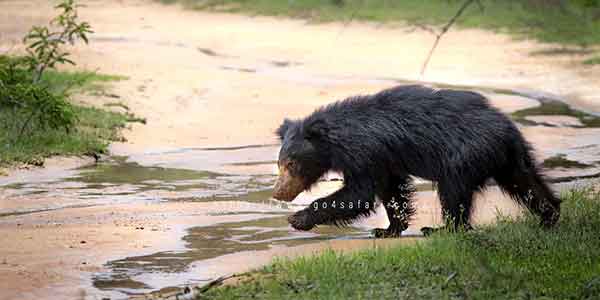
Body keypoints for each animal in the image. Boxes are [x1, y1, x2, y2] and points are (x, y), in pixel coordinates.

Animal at [272, 85, 564, 237]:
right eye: (279, 164)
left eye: (291, 165)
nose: (278, 193)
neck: (336, 142)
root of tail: (504, 128)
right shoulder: (385, 160)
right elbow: (391, 190)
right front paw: (389, 229)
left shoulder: (365, 153)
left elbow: (359, 193)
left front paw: (298, 218)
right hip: (510, 157)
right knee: (526, 182)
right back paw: (549, 215)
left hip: (465, 154)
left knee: (453, 191)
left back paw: (441, 229)